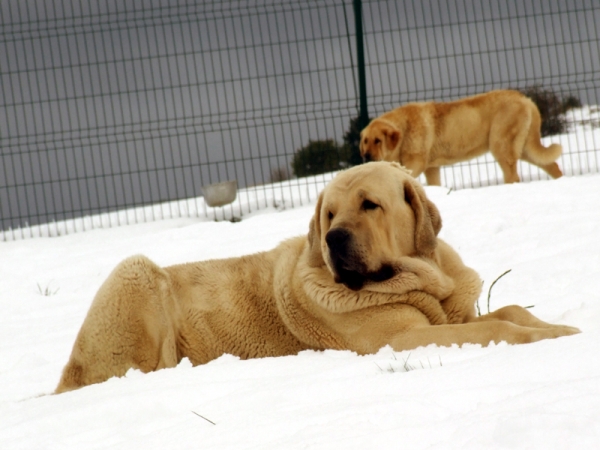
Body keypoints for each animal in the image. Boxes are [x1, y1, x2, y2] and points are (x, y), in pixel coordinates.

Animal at [55, 163, 576, 394]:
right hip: (136, 270)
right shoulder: (403, 339)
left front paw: (560, 327)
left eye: (370, 204)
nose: (333, 238)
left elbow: (507, 310)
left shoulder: (455, 311)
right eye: (329, 213)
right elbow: (497, 326)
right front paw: (543, 336)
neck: (423, 279)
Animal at [360, 90, 564, 185]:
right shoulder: (431, 168)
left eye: (378, 140)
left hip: (501, 145)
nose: (366, 156)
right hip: (525, 149)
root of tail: (525, 99)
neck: (403, 130)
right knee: (552, 165)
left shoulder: (416, 162)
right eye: (365, 142)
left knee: (513, 176)